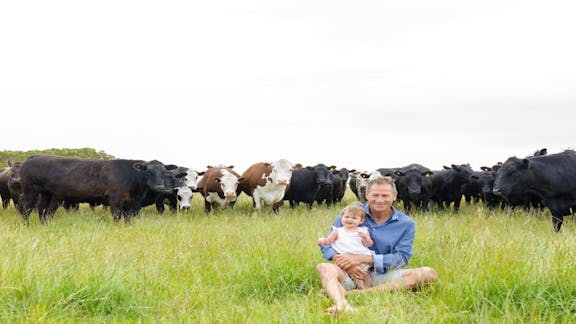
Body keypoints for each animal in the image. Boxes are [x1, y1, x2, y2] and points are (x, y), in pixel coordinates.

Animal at [19, 154, 178, 223]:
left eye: (164, 172)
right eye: (148, 171)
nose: (159, 186)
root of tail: (34, 157)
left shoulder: (132, 204)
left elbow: (128, 218)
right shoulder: (115, 199)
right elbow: (117, 216)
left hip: (49, 194)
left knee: (43, 210)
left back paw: (44, 225)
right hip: (30, 190)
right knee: (27, 209)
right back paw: (27, 226)